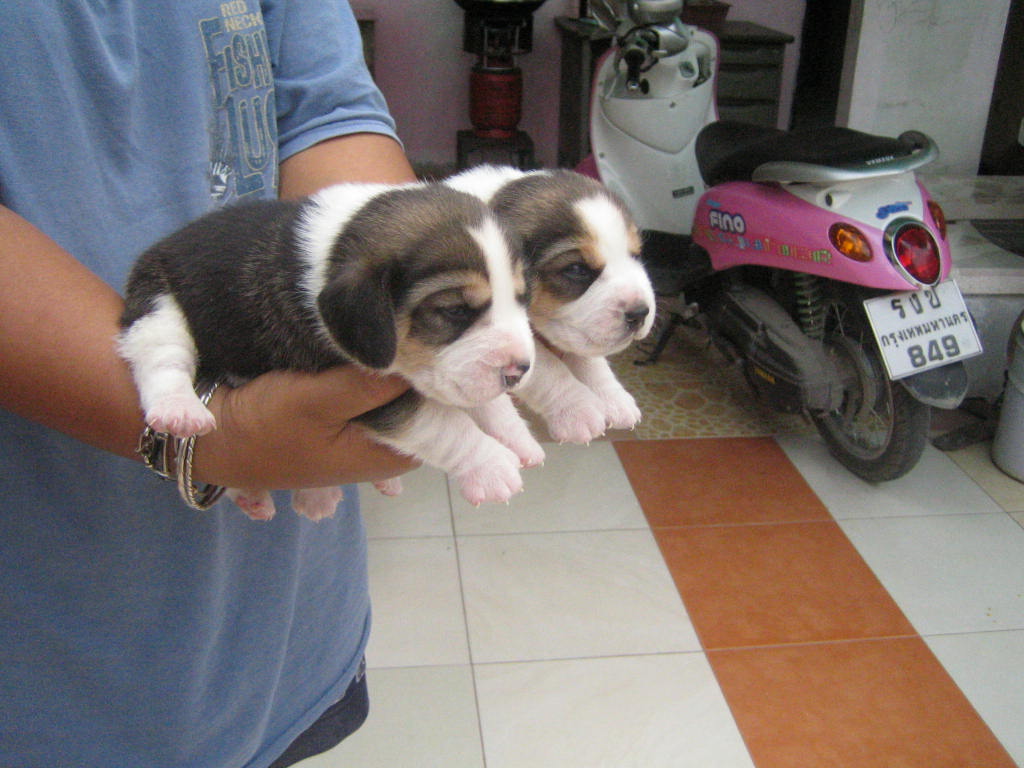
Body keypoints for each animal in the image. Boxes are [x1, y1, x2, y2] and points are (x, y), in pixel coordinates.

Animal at [118, 181, 546, 520]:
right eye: (454, 311)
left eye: (521, 299)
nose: (519, 371)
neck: (335, 252)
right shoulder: (370, 394)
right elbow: (445, 425)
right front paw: (492, 465)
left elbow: (488, 403)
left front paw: (520, 440)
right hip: (157, 301)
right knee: (162, 359)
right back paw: (181, 412)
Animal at [446, 166, 656, 444]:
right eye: (576, 269)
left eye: (634, 255)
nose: (640, 313)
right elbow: (549, 370)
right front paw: (579, 410)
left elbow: (590, 360)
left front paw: (613, 397)